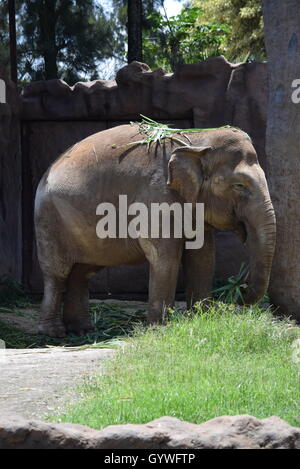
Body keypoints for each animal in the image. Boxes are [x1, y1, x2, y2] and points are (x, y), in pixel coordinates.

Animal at [34, 123, 276, 336]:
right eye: (239, 186)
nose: (240, 287)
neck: (196, 139)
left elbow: (203, 257)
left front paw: (201, 320)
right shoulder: (156, 196)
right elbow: (165, 256)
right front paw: (160, 330)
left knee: (83, 271)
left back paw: (82, 330)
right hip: (49, 220)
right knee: (57, 273)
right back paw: (54, 333)